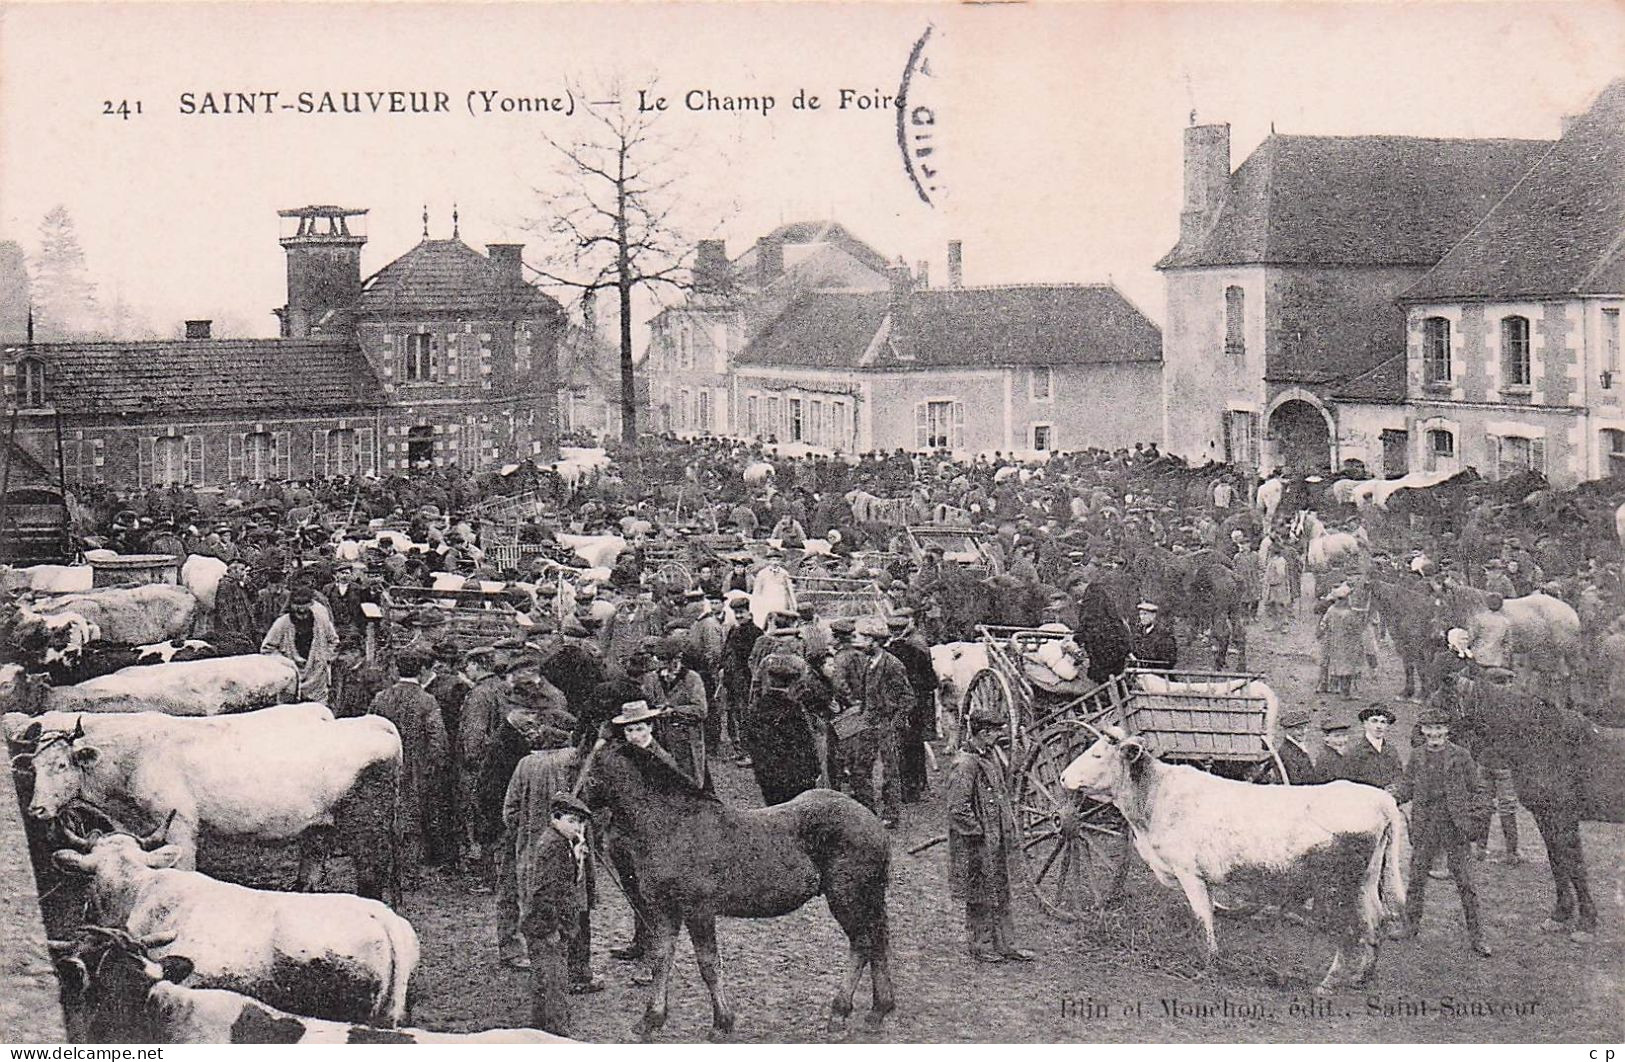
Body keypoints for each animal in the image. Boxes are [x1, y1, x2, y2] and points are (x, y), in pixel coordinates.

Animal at [578, 740, 897, 1039]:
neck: (674, 826)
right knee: (878, 941)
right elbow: (661, 959)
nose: (571, 808)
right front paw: (651, 1019)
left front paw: (722, 1022)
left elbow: (708, 964)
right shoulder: (665, 910)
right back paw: (878, 1010)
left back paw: (839, 1013)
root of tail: (874, 821)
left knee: (862, 944)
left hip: (846, 898)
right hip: (869, 897)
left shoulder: (698, 911)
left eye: (589, 775)